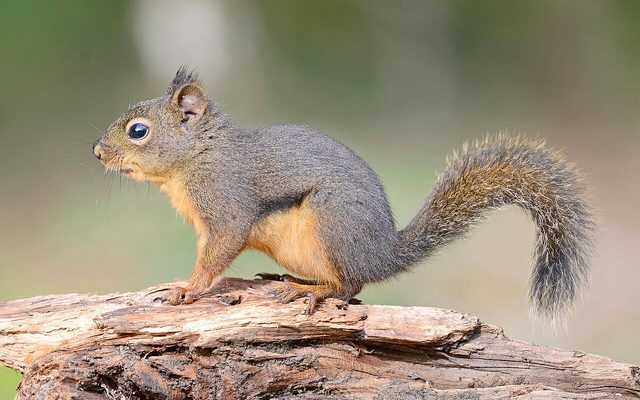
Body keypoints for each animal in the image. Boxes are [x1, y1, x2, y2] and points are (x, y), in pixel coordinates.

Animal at [93, 67, 594, 317]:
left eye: (138, 131)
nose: (96, 151)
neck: (198, 156)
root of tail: (383, 254)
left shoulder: (227, 204)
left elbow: (219, 251)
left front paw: (188, 290)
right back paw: (294, 282)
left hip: (331, 220)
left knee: (350, 286)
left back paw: (314, 293)